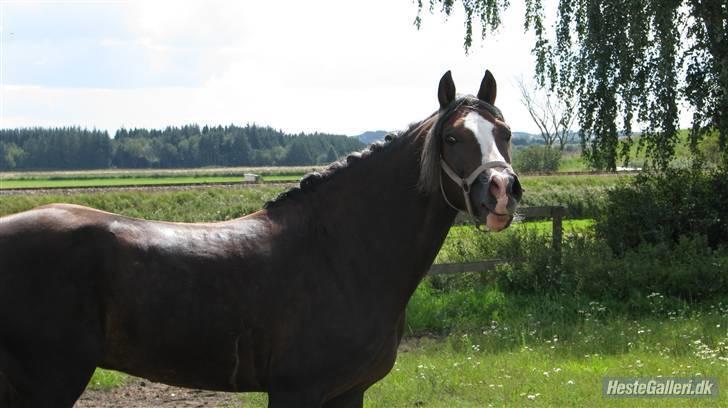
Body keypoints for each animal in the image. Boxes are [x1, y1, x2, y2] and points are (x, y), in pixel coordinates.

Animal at [0, 70, 524, 404]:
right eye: (453, 138)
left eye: (505, 132)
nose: (503, 190)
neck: (341, 253)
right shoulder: (297, 391)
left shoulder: (348, 393)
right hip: (50, 382)